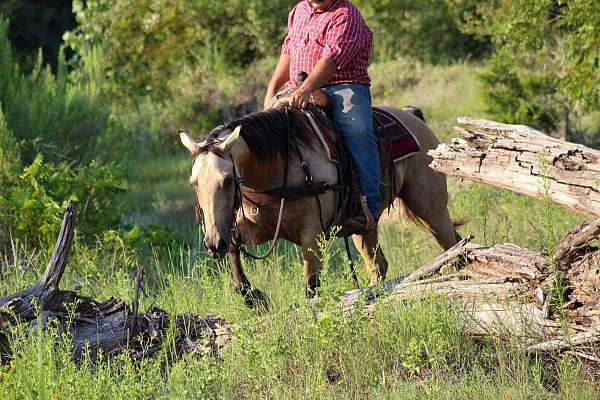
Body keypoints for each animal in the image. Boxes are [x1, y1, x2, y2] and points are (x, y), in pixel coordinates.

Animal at [180, 104, 462, 308]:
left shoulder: (312, 236)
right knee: (378, 266)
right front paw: (253, 297)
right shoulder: (256, 228)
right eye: (194, 183)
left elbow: (311, 286)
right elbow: (234, 247)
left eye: (227, 181)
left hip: (430, 209)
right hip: (365, 226)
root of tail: (412, 116)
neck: (281, 166)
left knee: (452, 244)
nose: (212, 243)